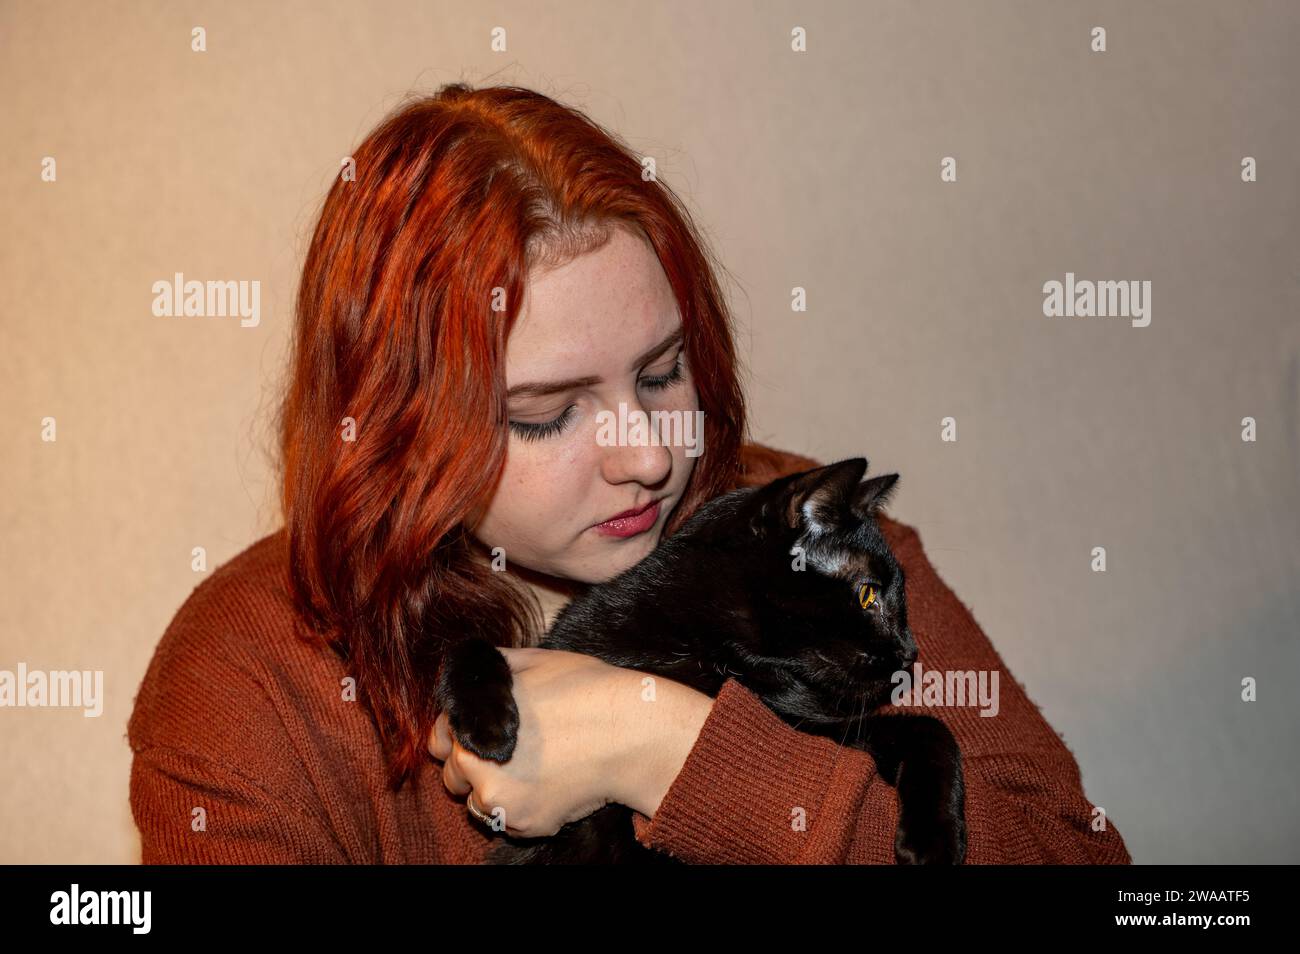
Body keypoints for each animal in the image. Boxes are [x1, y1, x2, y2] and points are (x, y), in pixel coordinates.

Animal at [434, 460, 967, 868]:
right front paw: (489, 727)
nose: (909, 653)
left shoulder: (811, 725)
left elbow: (931, 729)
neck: (718, 655)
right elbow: (470, 644)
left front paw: (937, 841)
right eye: (868, 595)